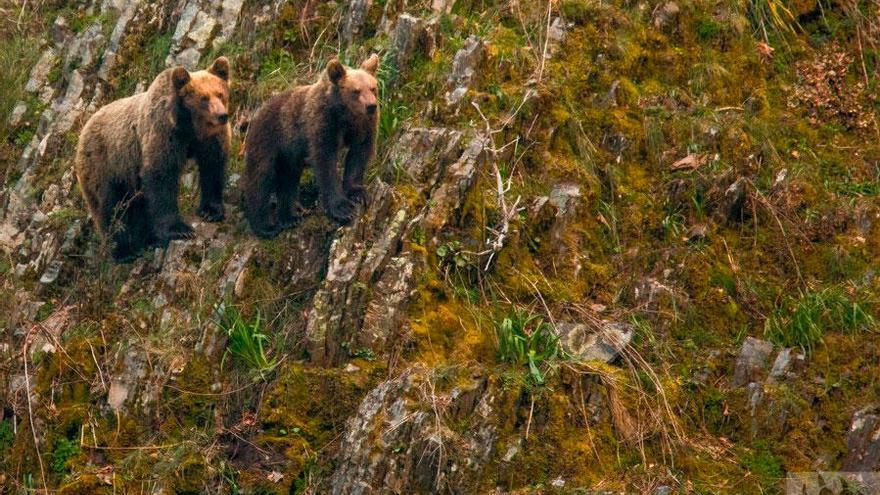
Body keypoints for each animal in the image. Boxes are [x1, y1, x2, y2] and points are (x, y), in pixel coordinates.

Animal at [75, 56, 232, 262]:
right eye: (203, 98)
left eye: (220, 94)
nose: (222, 115)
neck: (189, 127)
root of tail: (83, 129)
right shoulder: (163, 133)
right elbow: (161, 177)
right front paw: (179, 230)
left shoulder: (210, 139)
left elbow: (213, 167)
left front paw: (212, 211)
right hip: (105, 163)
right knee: (110, 207)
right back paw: (123, 251)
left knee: (136, 205)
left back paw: (147, 241)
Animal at [242, 56, 380, 238]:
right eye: (356, 91)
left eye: (373, 87)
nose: (371, 106)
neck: (344, 114)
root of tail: (256, 113)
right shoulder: (321, 123)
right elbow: (325, 163)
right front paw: (342, 208)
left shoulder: (363, 126)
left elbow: (359, 155)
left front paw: (359, 193)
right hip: (268, 140)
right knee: (261, 177)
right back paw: (264, 226)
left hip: (289, 157)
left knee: (288, 181)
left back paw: (289, 218)